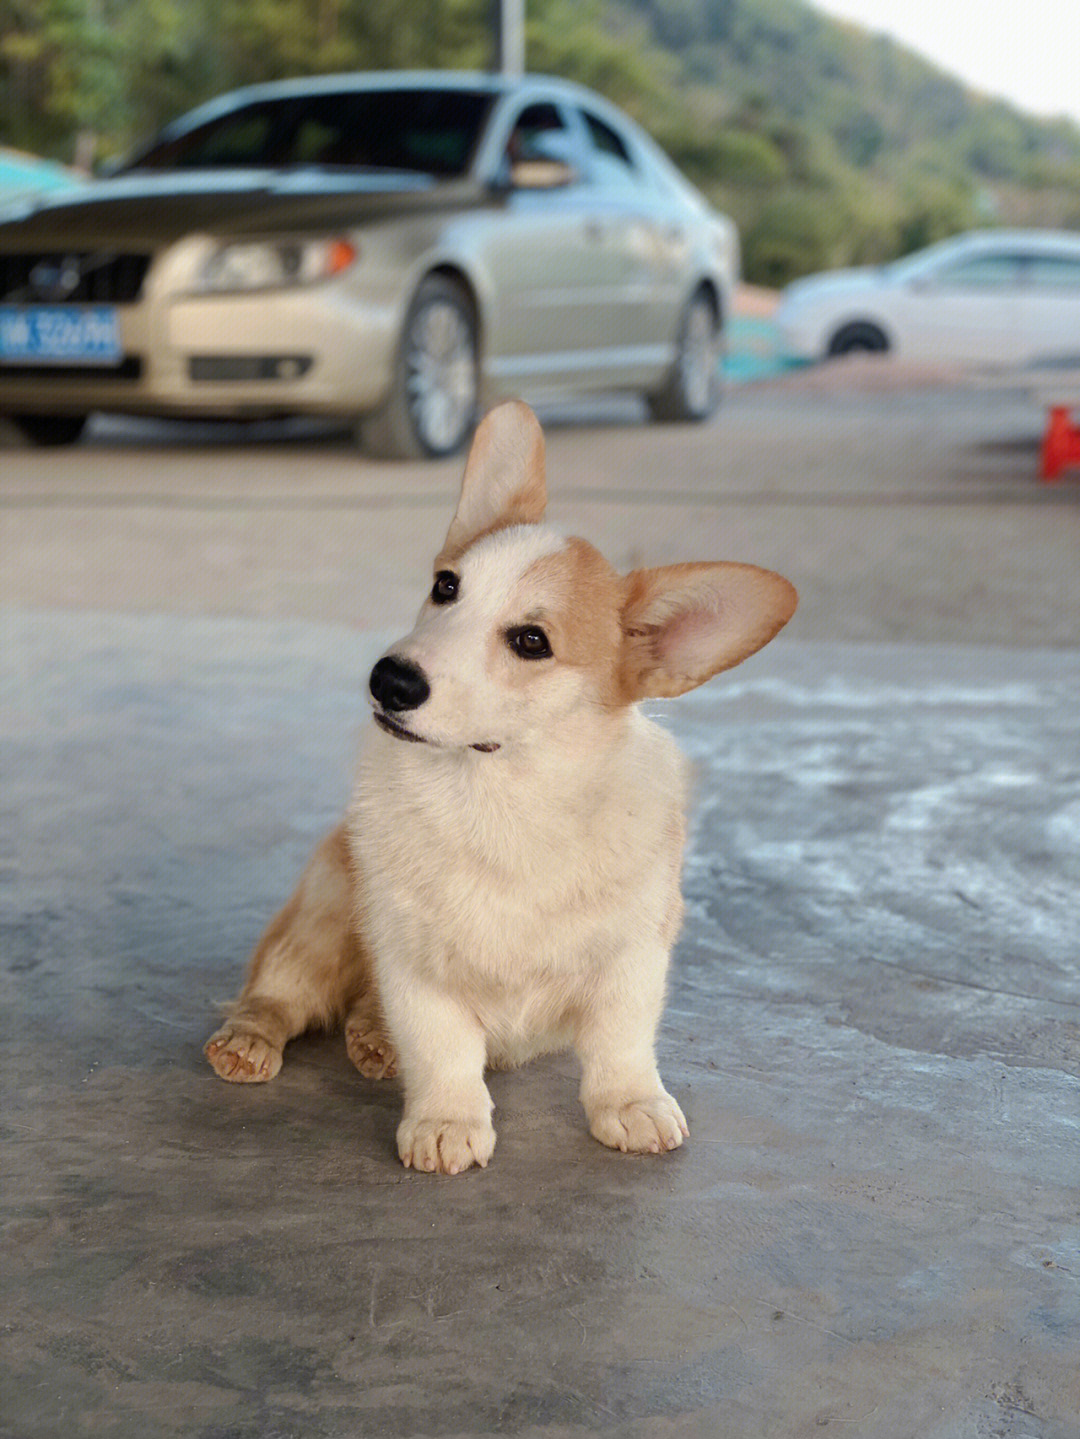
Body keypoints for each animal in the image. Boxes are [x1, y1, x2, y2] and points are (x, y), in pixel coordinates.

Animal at [204, 400, 793, 1174]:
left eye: (531, 642)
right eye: (445, 586)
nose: (388, 680)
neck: (501, 798)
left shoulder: (633, 955)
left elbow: (622, 1042)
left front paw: (632, 1105)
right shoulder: (414, 961)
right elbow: (443, 1048)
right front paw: (446, 1120)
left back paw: (373, 1038)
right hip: (324, 915)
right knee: (277, 988)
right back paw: (251, 1040)